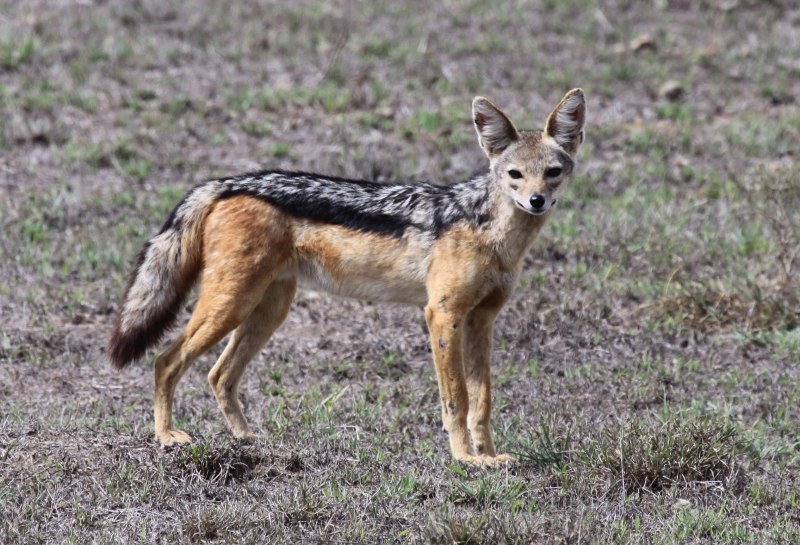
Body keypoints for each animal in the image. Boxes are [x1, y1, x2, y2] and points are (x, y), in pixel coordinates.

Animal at [108, 89, 586, 466]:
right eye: (515, 175)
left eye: (553, 172)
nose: (537, 201)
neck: (491, 232)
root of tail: (230, 182)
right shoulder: (442, 315)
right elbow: (457, 399)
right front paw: (466, 460)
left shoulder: (481, 320)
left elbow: (482, 400)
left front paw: (489, 456)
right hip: (230, 306)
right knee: (165, 361)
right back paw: (167, 437)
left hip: (267, 310)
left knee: (219, 375)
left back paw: (251, 444)